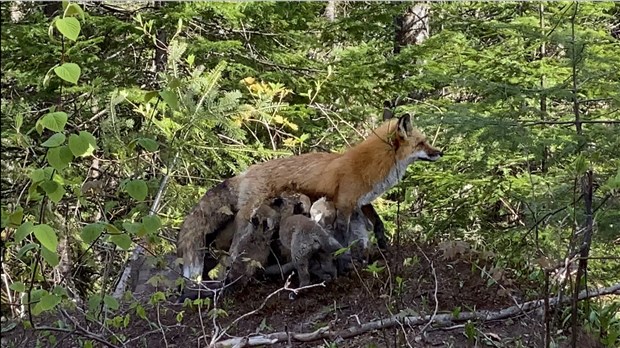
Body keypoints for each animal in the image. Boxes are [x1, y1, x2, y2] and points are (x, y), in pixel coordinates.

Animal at [177, 113, 444, 282]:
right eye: (422, 143)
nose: (440, 152)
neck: (368, 166)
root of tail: (245, 172)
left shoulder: (362, 201)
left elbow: (378, 225)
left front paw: (384, 247)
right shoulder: (345, 204)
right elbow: (342, 238)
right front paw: (345, 263)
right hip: (246, 223)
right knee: (232, 252)